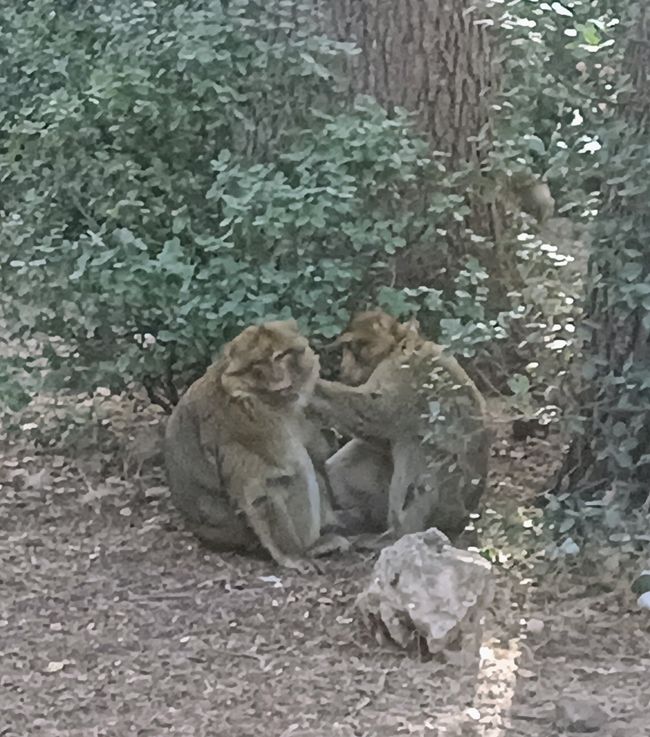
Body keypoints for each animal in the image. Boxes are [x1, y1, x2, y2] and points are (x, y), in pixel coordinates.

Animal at [164, 320, 346, 571]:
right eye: (258, 364)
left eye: (281, 356)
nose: (278, 378)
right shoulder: (246, 424)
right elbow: (262, 487)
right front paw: (292, 555)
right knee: (297, 469)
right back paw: (311, 546)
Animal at [311, 311, 491, 541]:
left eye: (352, 347)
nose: (344, 367)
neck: (399, 344)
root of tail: (467, 514)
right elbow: (380, 437)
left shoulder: (401, 371)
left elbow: (378, 415)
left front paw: (311, 385)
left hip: (448, 500)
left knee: (417, 447)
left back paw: (399, 531)